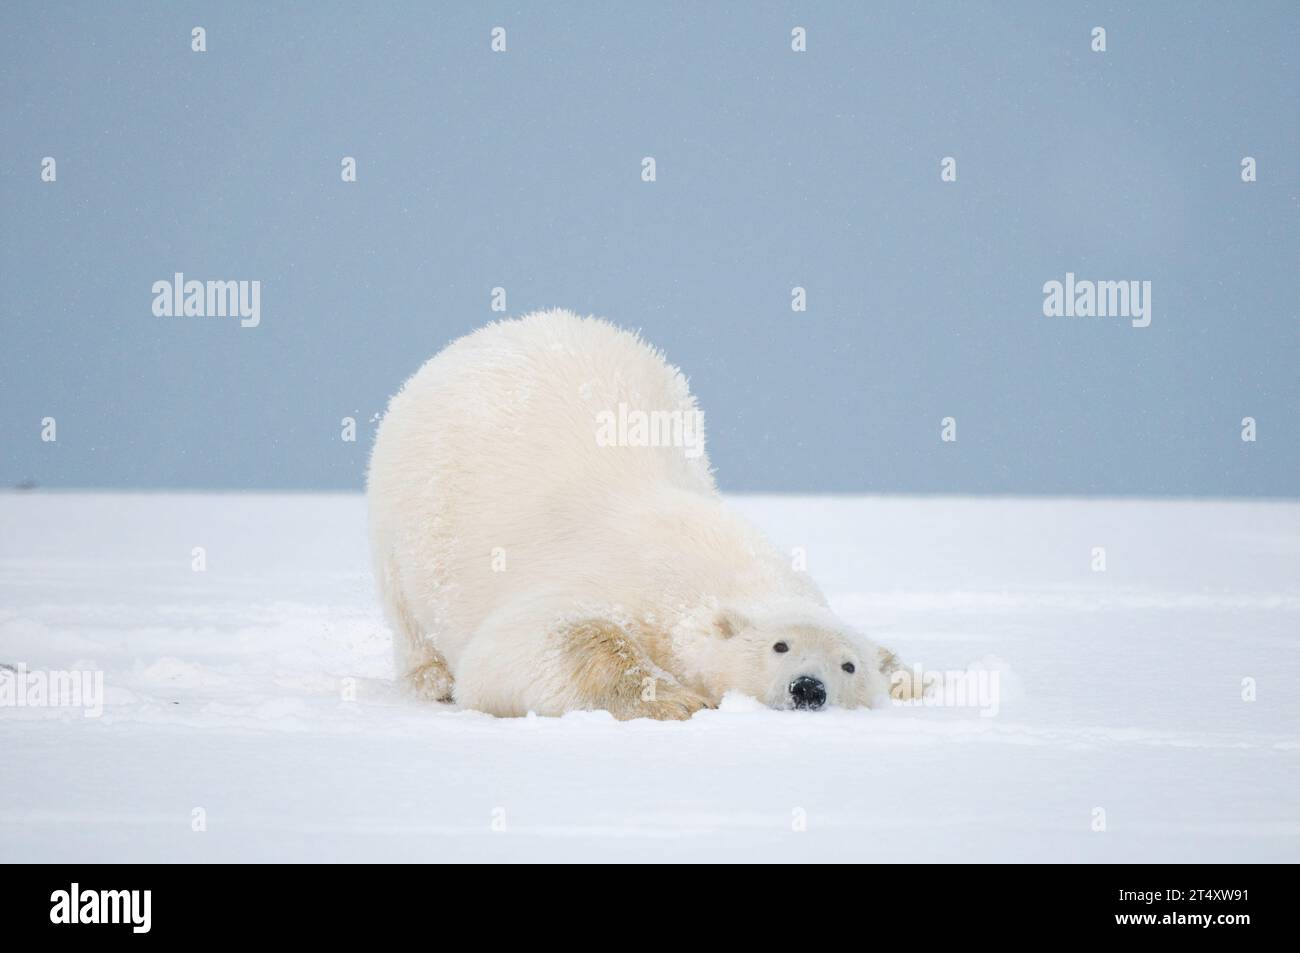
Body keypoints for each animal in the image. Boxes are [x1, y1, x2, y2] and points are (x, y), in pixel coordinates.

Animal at [366, 308, 904, 717]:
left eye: (848, 665)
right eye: (781, 645)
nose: (809, 688)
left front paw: (905, 678)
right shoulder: (627, 576)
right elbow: (524, 644)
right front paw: (678, 700)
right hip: (401, 510)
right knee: (410, 615)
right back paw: (432, 680)